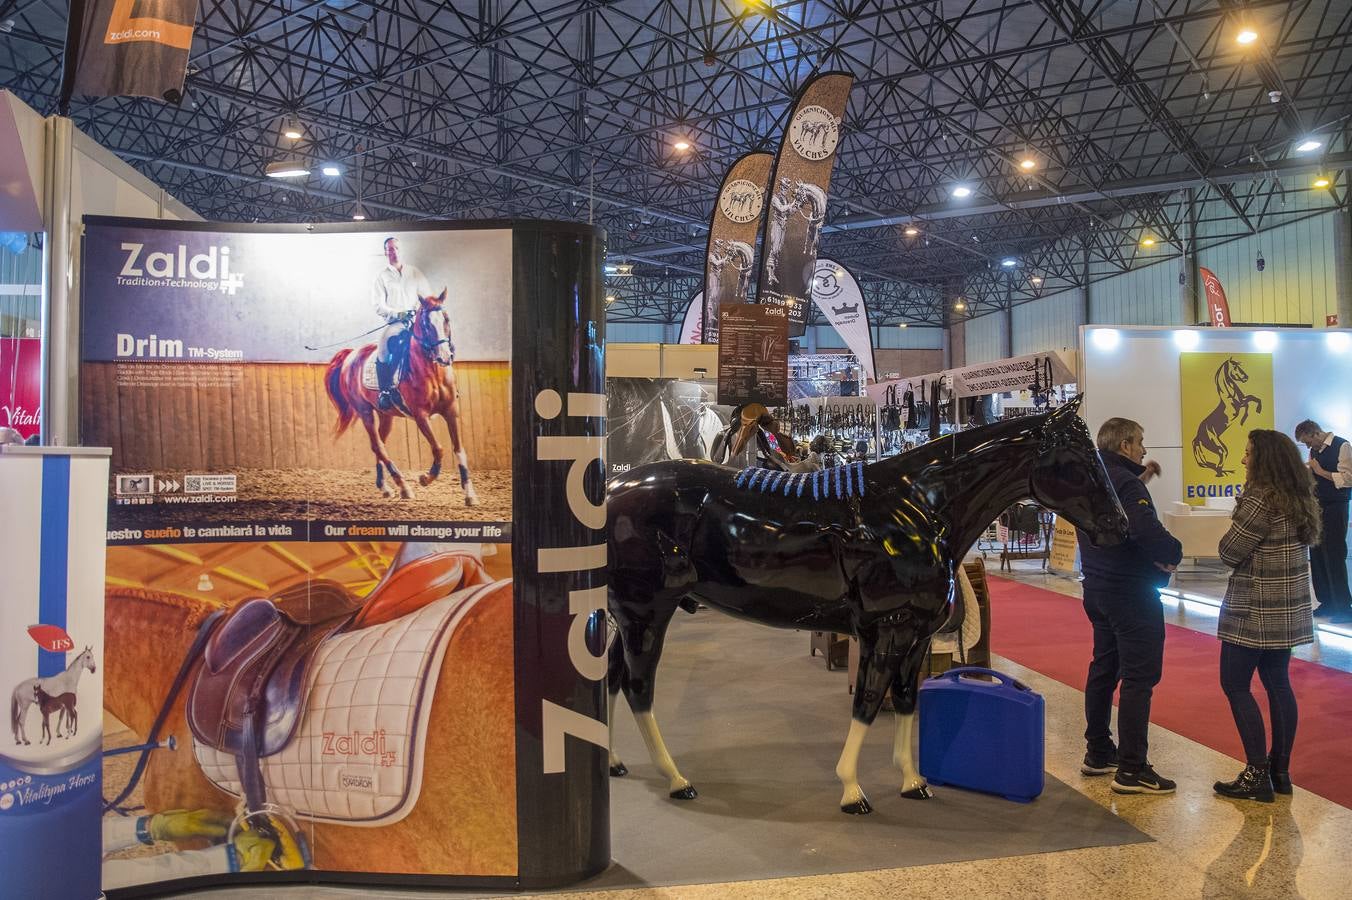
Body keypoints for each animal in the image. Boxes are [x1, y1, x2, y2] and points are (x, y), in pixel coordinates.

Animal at [323, 290, 481, 505]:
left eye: (446, 319)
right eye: (426, 324)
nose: (444, 357)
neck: (432, 371)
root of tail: (351, 355)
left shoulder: (451, 411)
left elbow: (459, 450)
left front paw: (470, 495)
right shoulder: (421, 416)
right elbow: (438, 448)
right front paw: (425, 478)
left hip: (385, 415)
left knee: (379, 445)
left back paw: (385, 487)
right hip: (365, 411)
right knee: (378, 445)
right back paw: (404, 487)